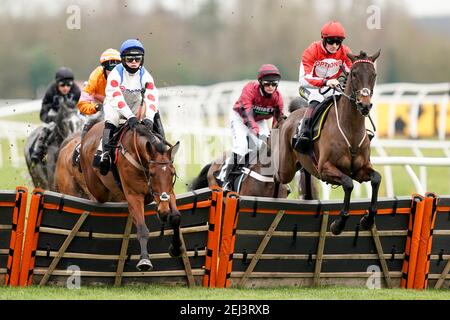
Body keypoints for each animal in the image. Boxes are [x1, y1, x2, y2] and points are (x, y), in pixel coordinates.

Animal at [80, 121, 180, 272]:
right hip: (98, 189)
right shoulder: (134, 196)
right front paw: (144, 260)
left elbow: (175, 217)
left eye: (172, 174)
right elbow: (143, 229)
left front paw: (175, 248)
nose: (163, 212)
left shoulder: (169, 192)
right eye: (152, 174)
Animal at [274, 50, 380, 235]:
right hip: (286, 168)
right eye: (354, 74)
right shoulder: (325, 169)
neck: (350, 130)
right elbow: (348, 184)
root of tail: (291, 116)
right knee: (276, 175)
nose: (364, 106)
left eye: (373, 74)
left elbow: (376, 179)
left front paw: (368, 220)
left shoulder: (360, 169)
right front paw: (338, 224)